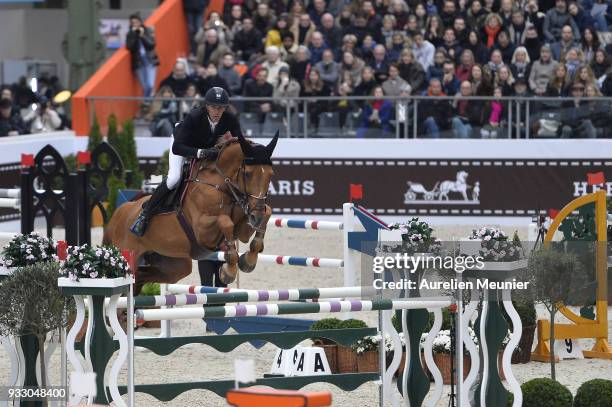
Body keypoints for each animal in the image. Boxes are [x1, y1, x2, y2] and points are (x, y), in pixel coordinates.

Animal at [103, 133, 278, 294]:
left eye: (271, 174)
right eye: (248, 173)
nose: (256, 217)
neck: (221, 185)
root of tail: (119, 213)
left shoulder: (241, 230)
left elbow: (267, 213)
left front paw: (249, 260)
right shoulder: (202, 231)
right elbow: (225, 221)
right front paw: (228, 271)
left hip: (174, 264)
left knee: (140, 277)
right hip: (128, 254)